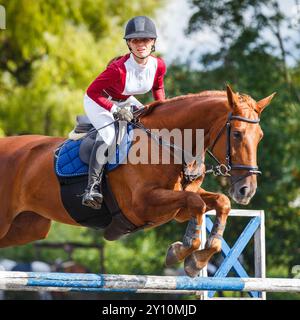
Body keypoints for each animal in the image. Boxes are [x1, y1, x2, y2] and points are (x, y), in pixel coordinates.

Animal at [0, 85, 274, 278]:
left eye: (260, 136)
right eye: (237, 134)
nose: (247, 190)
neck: (168, 144)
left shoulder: (178, 210)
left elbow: (220, 201)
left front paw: (197, 259)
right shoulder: (142, 204)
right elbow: (196, 202)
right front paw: (182, 251)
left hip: (28, 227)